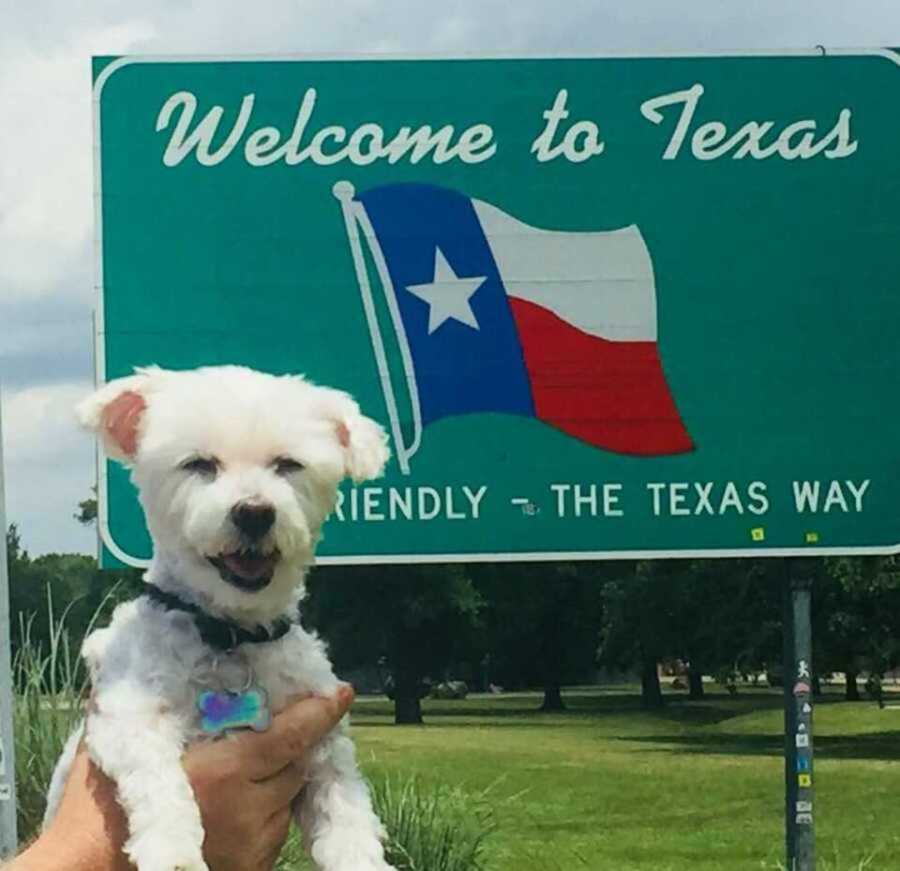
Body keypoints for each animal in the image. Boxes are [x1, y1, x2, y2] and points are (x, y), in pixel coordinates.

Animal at [44, 366, 398, 871]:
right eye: (199, 465)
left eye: (288, 465)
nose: (254, 512)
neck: (231, 631)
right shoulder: (127, 710)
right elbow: (156, 774)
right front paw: (172, 850)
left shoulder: (322, 739)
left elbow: (344, 809)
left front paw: (358, 855)